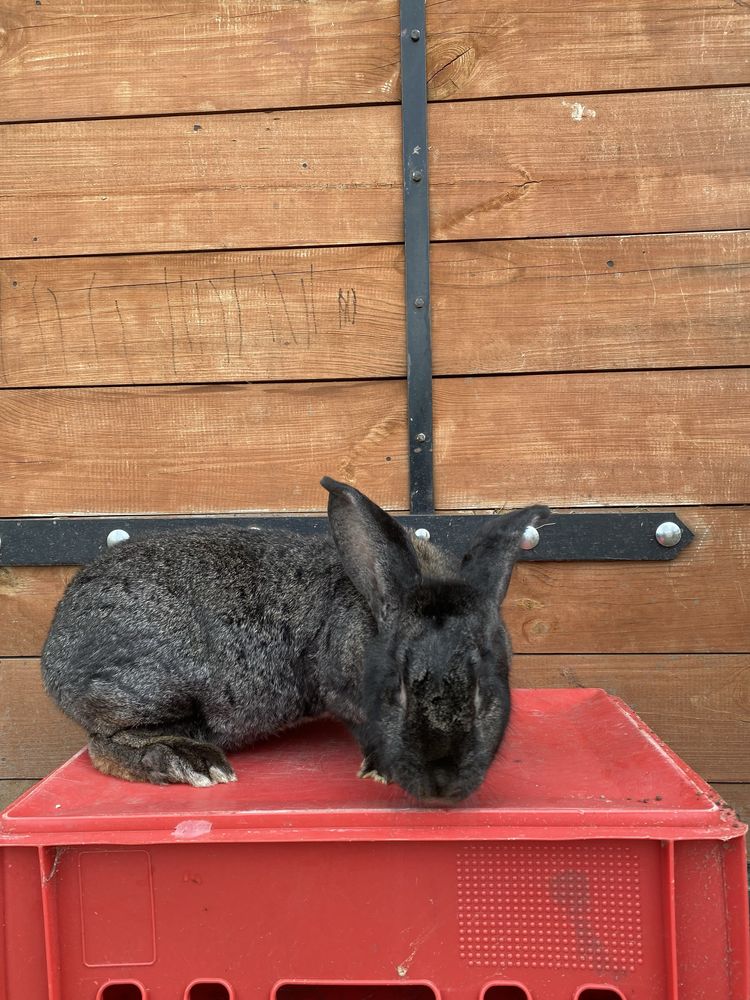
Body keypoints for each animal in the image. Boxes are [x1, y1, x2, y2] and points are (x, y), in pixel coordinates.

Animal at [41, 478, 548, 804]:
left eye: (489, 688)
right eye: (398, 691)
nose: (441, 785)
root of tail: (54, 653)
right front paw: (380, 770)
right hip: (153, 689)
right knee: (105, 744)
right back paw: (193, 763)